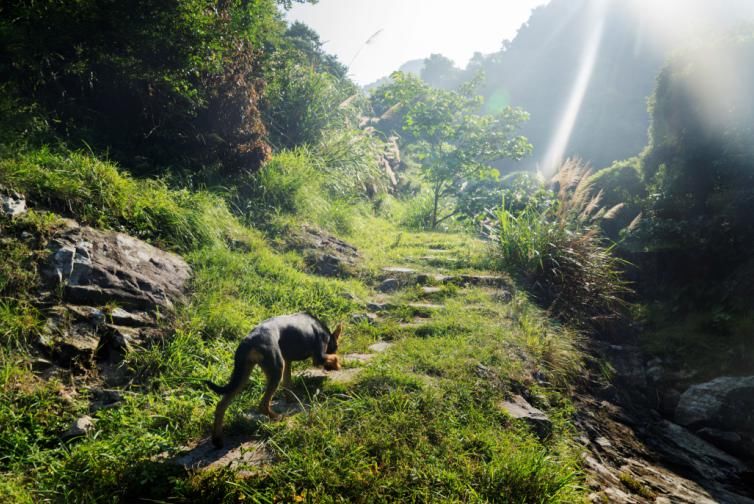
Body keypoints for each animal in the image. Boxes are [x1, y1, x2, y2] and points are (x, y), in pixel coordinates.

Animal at [209, 314, 344, 446]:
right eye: (336, 346)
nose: (327, 368)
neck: (322, 329)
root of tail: (248, 341)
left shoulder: (288, 361)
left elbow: (287, 385)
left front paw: (292, 399)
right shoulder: (318, 357)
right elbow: (335, 357)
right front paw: (337, 365)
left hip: (243, 375)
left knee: (221, 405)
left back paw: (217, 439)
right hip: (275, 370)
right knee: (263, 405)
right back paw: (278, 417)